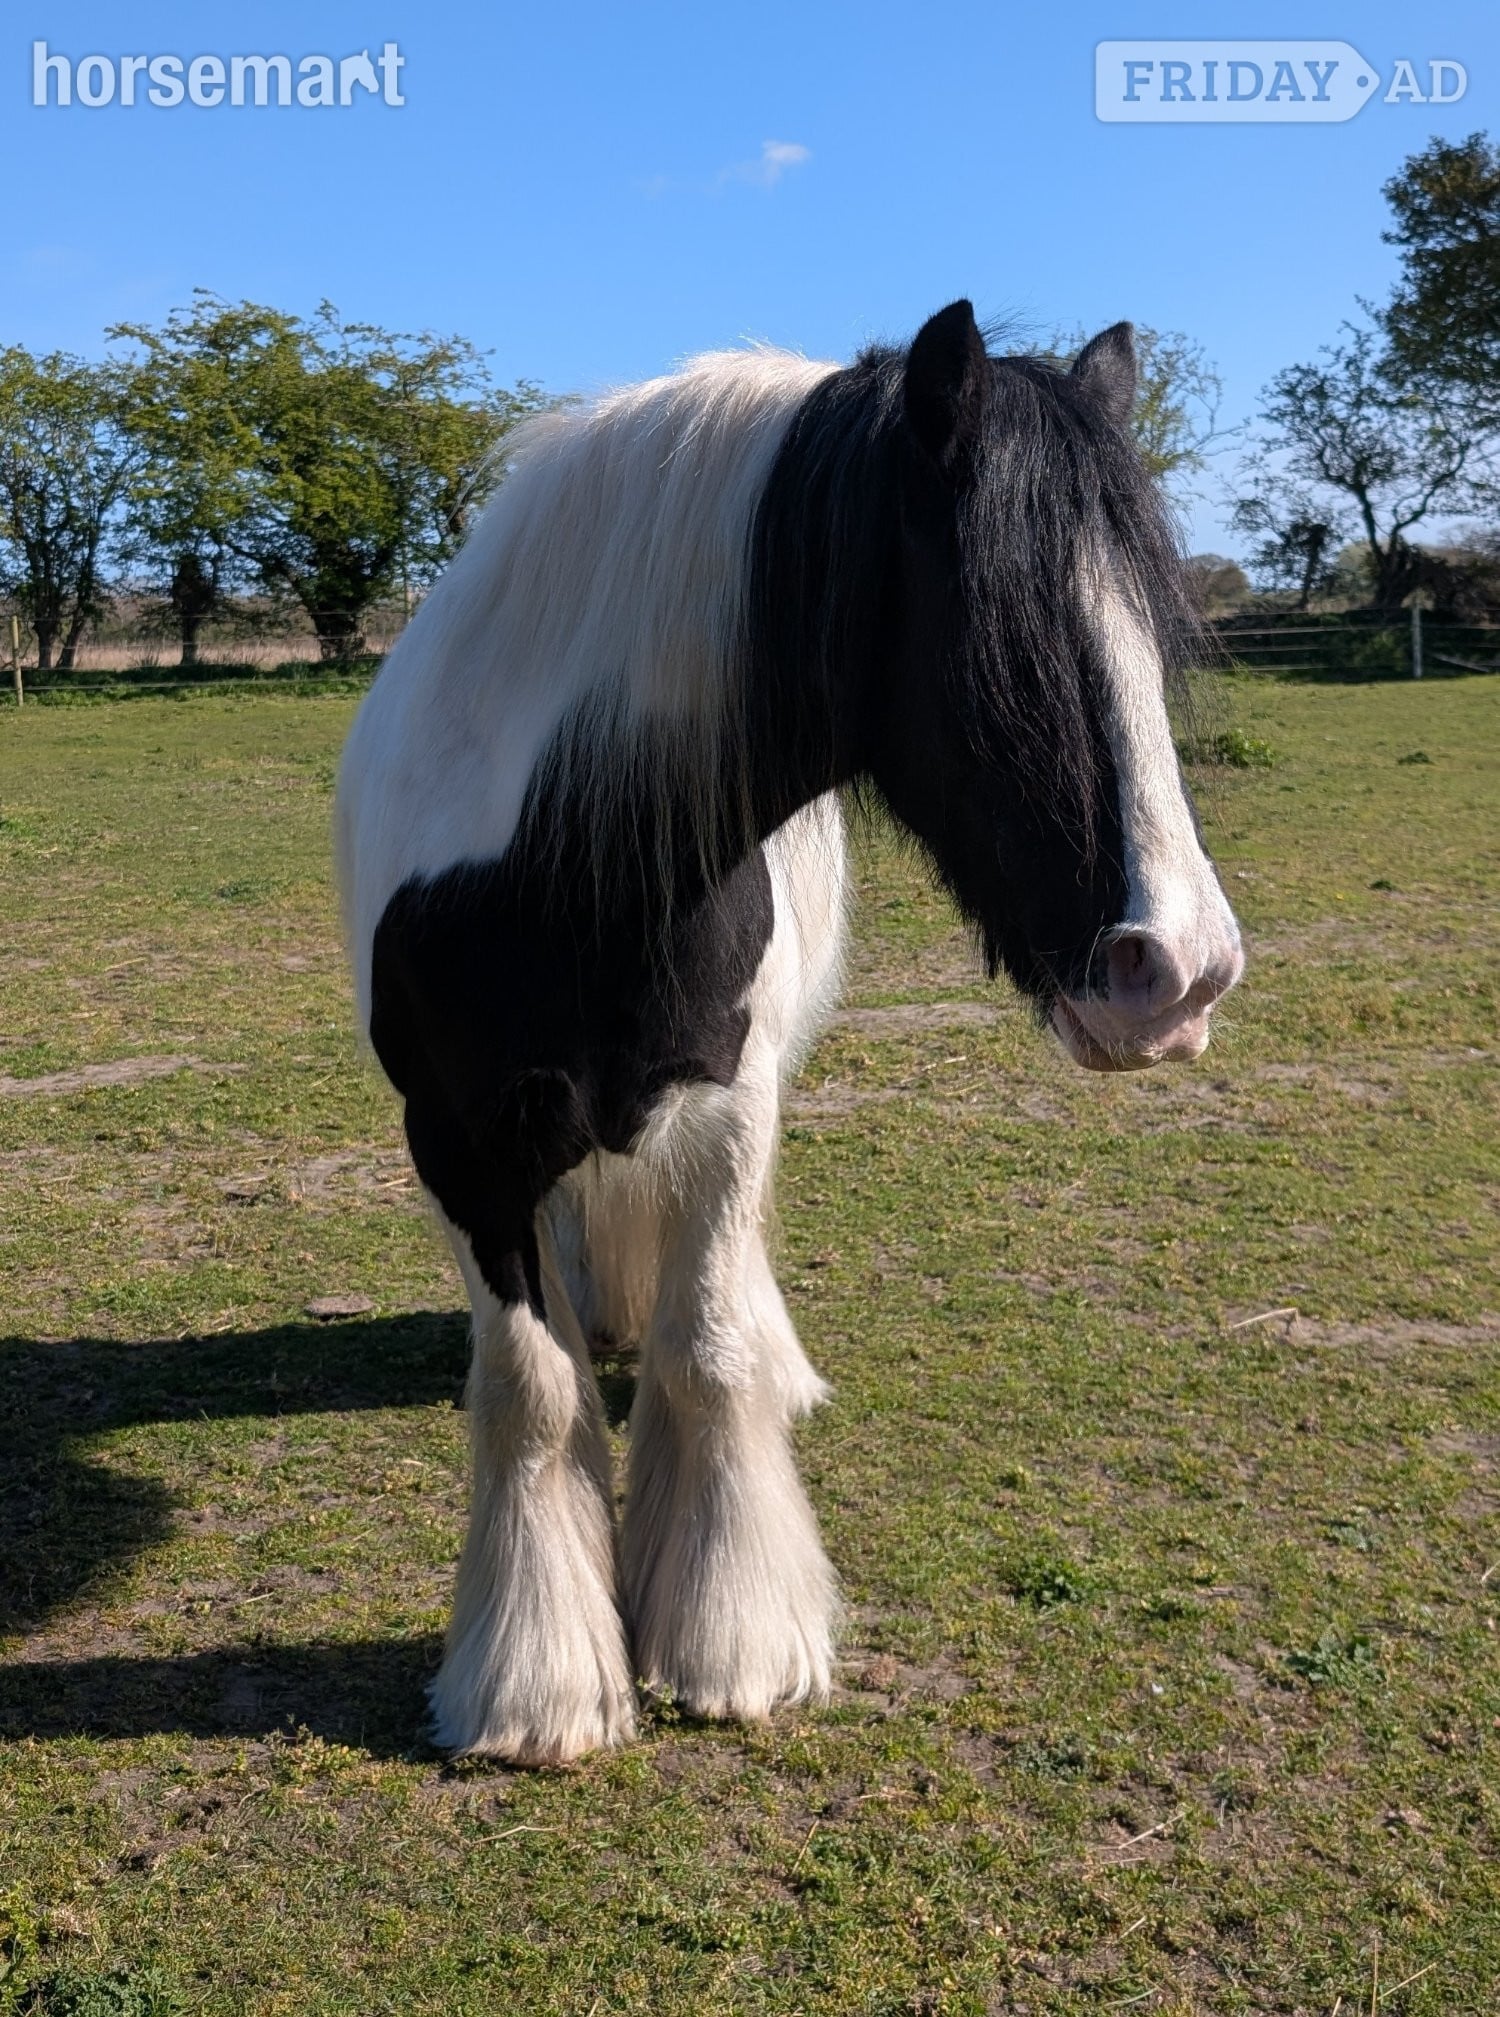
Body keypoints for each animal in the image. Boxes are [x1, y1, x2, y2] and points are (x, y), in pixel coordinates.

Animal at [335, 300, 1244, 1764]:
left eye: (1158, 638)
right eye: (1003, 638)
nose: (1182, 970)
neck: (555, 863)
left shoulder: (726, 1103)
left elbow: (708, 1357)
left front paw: (732, 1633)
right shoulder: (460, 1143)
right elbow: (529, 1385)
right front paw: (538, 1684)